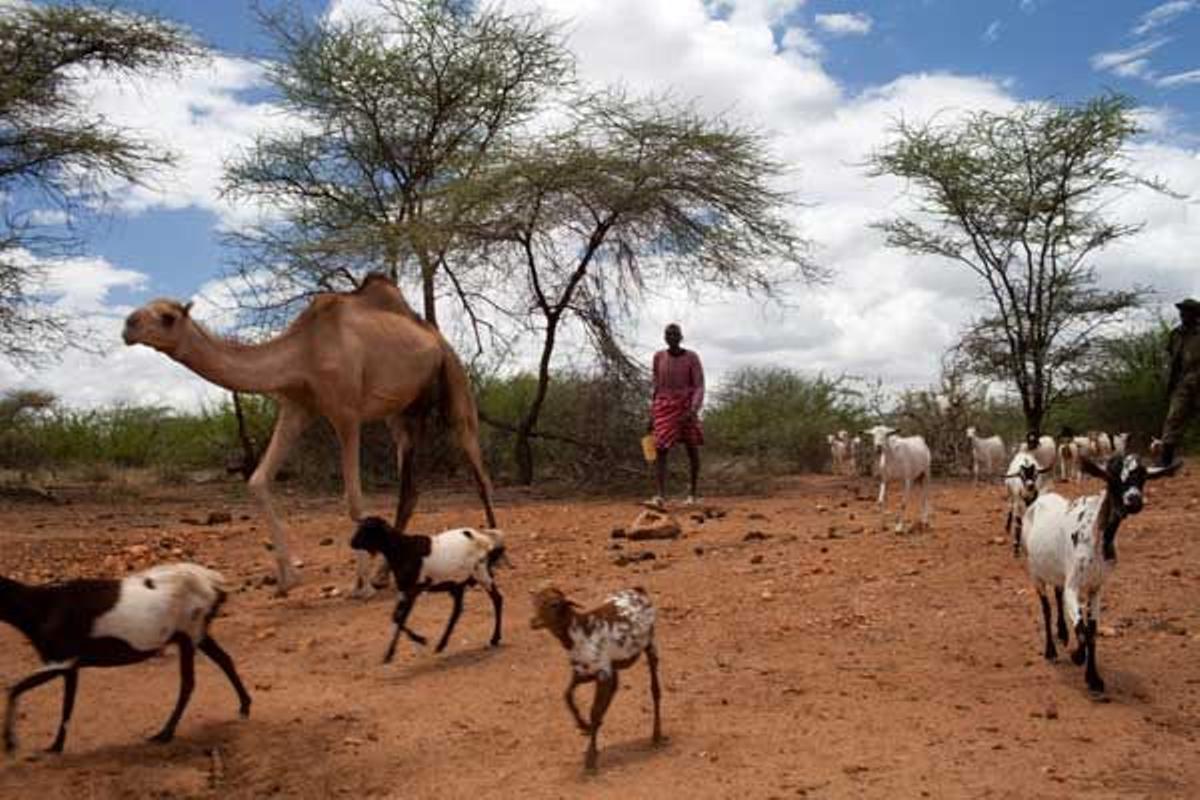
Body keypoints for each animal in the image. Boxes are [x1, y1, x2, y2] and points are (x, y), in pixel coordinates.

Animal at [0, 561, 248, 753]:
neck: (42, 607)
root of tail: (215, 583)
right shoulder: (70, 665)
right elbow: (66, 705)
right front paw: (56, 746)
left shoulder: (61, 659)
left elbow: (15, 689)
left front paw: (11, 743)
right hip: (198, 634)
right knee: (225, 660)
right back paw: (245, 706)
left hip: (189, 633)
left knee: (188, 683)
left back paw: (164, 733)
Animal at [123, 275, 496, 594]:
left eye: (168, 317)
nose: (128, 326)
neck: (303, 353)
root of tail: (433, 335)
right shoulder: (297, 406)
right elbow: (257, 480)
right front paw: (288, 579)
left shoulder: (346, 413)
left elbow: (353, 500)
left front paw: (359, 585)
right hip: (403, 412)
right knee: (411, 489)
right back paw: (385, 574)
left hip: (453, 377)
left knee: (478, 469)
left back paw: (491, 553)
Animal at [350, 513, 511, 662]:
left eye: (367, 529)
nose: (352, 542)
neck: (403, 550)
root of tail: (483, 540)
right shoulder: (404, 591)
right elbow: (396, 617)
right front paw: (389, 654)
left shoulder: (413, 590)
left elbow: (400, 617)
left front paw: (421, 640)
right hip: (457, 584)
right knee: (457, 610)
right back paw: (441, 644)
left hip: (481, 573)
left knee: (497, 599)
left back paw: (494, 638)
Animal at [1022, 455, 1180, 695]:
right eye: (1113, 477)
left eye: (1142, 477)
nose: (1134, 500)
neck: (1096, 532)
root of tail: (1040, 499)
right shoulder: (1074, 585)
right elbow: (1081, 629)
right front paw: (1077, 656)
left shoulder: (1096, 587)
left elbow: (1092, 631)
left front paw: (1094, 678)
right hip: (1035, 572)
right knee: (1046, 608)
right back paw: (1051, 650)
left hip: (1057, 571)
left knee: (1057, 595)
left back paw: (1062, 633)